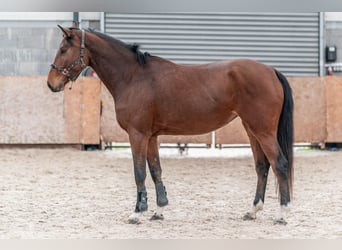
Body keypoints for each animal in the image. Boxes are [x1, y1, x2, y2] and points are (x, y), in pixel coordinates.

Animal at [47, 26, 294, 226]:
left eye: (63, 50)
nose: (51, 83)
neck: (134, 76)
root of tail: (270, 70)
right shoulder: (151, 136)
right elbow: (155, 170)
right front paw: (159, 210)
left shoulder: (137, 135)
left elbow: (139, 172)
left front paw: (137, 213)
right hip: (252, 130)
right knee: (262, 166)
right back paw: (253, 211)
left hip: (263, 131)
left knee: (280, 164)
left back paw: (282, 214)